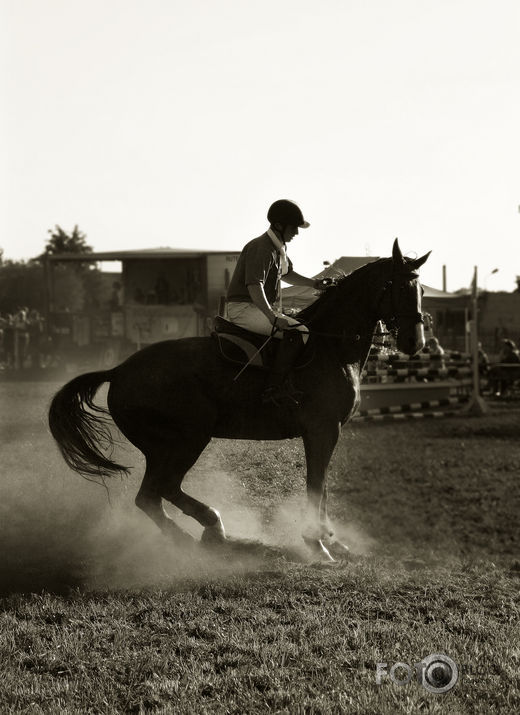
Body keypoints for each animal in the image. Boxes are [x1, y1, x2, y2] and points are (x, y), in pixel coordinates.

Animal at [47, 241, 430, 564]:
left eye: (422, 290)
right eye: (398, 287)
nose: (415, 343)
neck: (330, 347)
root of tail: (120, 369)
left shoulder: (325, 432)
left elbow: (321, 489)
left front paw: (331, 541)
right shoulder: (322, 430)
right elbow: (316, 486)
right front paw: (317, 544)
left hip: (162, 447)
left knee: (152, 496)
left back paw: (203, 534)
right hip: (186, 438)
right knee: (161, 490)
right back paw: (208, 531)